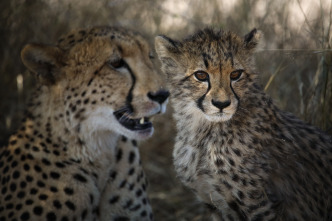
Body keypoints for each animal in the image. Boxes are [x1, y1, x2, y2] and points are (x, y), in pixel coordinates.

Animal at [156, 28, 332, 220]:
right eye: (201, 75)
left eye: (235, 74)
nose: (222, 104)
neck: (202, 133)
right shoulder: (213, 203)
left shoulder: (259, 206)